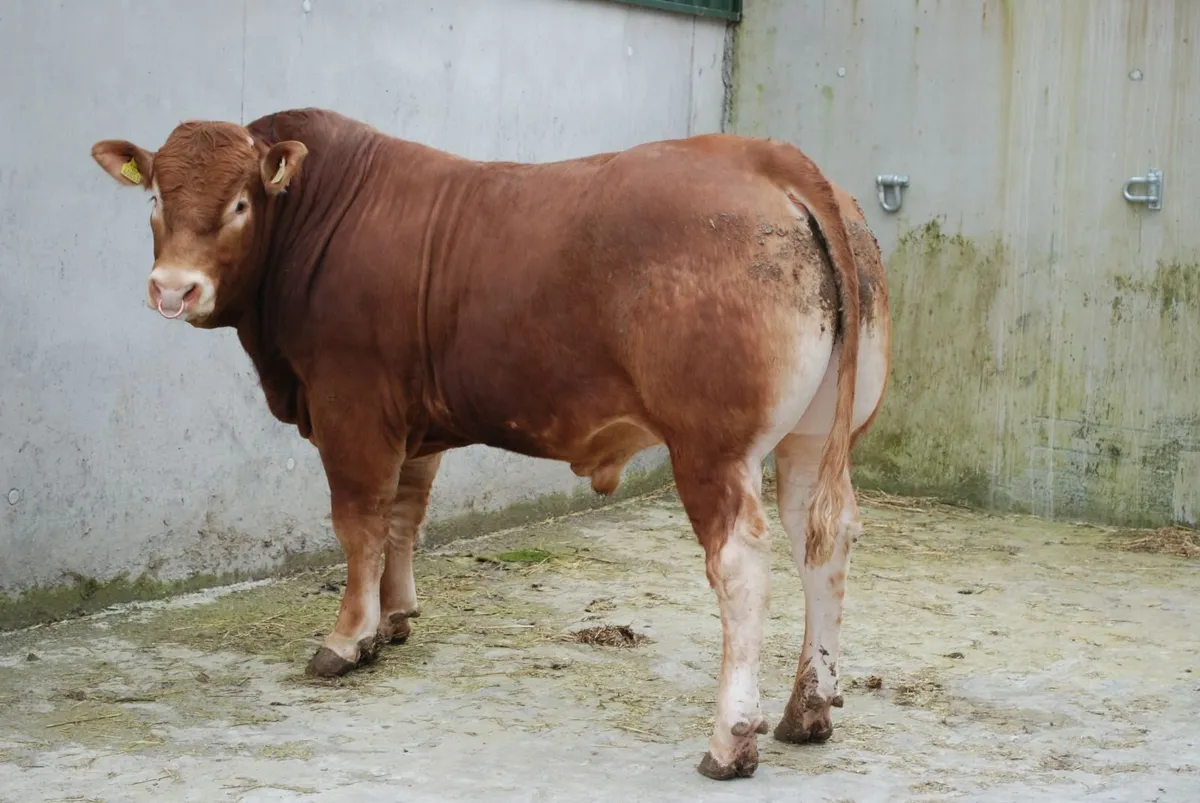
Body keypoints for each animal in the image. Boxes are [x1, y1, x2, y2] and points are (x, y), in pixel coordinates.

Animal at [90, 108, 891, 780]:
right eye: (154, 197)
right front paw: (394, 618)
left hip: (712, 448)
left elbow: (359, 521)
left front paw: (347, 638)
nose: (173, 289)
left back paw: (732, 739)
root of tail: (770, 157)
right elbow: (404, 516)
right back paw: (807, 709)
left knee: (742, 566)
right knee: (823, 541)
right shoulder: (414, 419)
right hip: (816, 436)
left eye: (240, 204)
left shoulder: (351, 404)